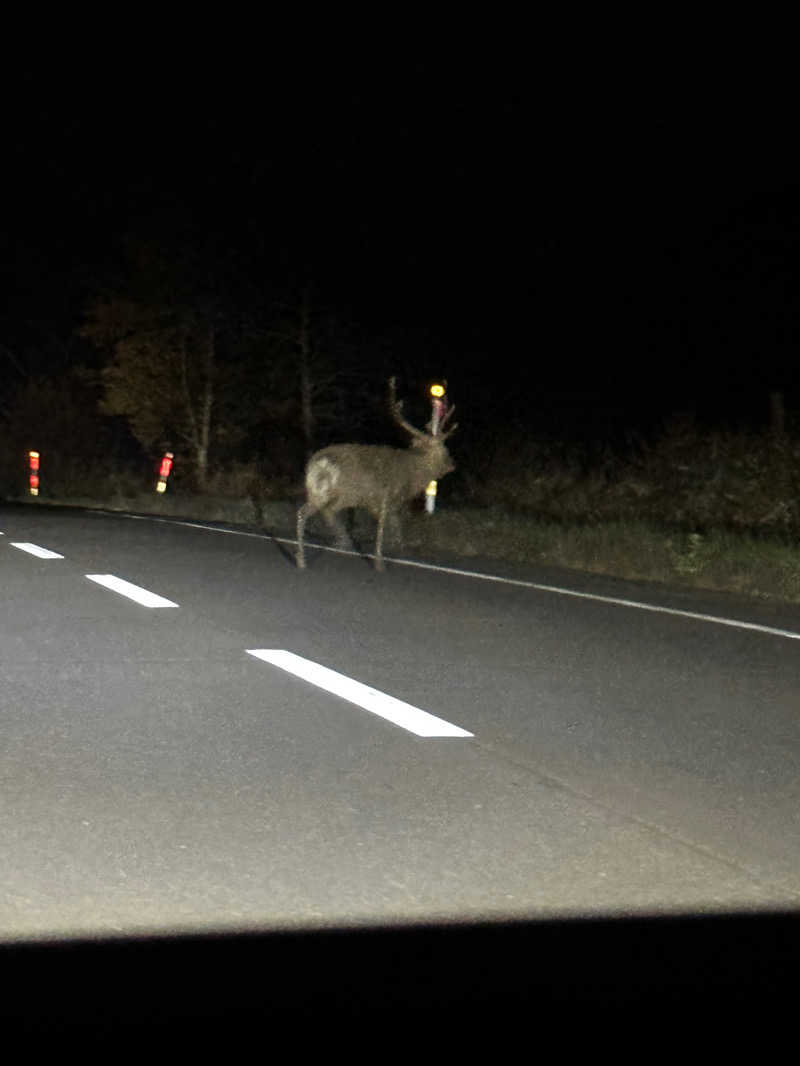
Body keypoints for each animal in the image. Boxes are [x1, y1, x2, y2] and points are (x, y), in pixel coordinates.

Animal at [296, 379, 456, 571]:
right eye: (444, 448)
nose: (451, 464)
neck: (412, 474)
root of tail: (318, 463)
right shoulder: (386, 496)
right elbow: (383, 528)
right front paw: (380, 562)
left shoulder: (382, 502)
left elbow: (395, 526)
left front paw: (398, 550)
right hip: (329, 492)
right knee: (304, 513)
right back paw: (302, 559)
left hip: (327, 493)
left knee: (325, 512)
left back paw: (341, 543)